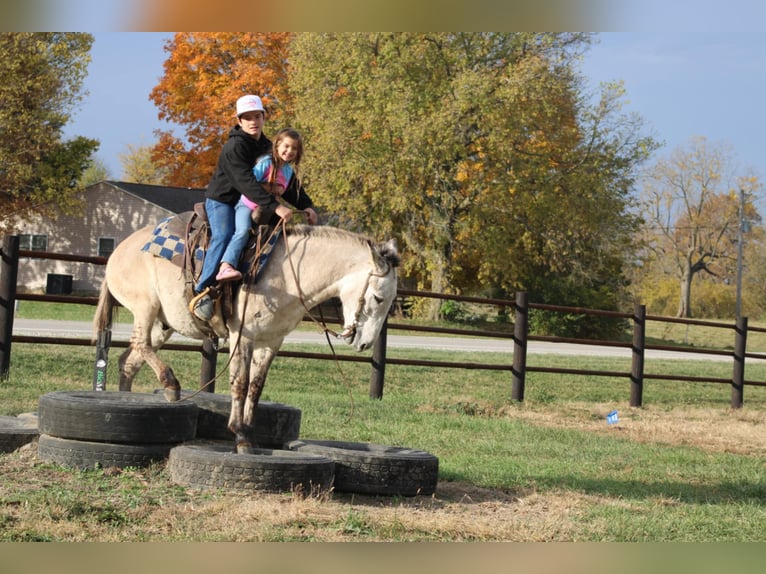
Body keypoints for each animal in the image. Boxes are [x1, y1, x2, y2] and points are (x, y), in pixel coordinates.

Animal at [93, 220, 399, 453]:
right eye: (378, 297)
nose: (364, 343)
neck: (287, 274)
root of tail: (118, 250)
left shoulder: (271, 342)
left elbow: (256, 386)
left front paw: (251, 433)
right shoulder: (244, 337)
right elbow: (239, 383)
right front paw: (240, 435)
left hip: (163, 324)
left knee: (129, 361)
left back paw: (127, 397)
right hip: (145, 307)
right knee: (140, 344)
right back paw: (171, 384)